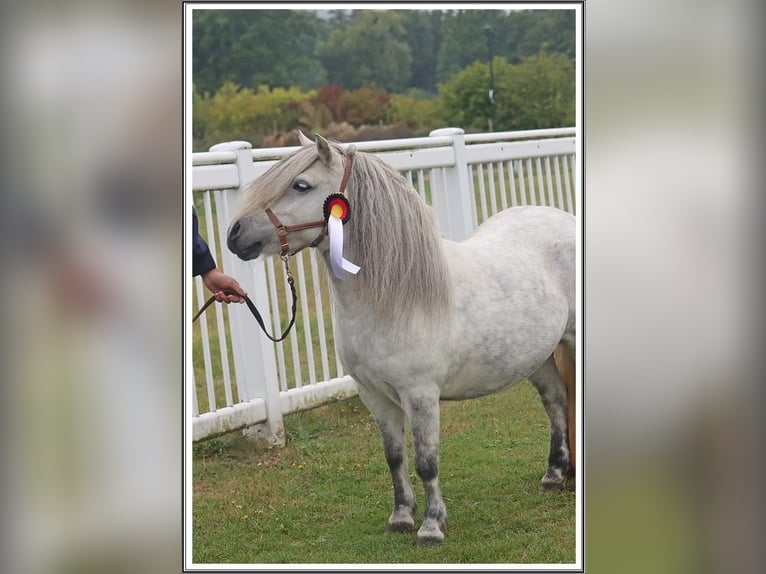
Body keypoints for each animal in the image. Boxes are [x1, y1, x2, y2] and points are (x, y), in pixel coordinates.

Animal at [228, 133, 576, 548]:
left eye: (300, 185)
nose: (235, 235)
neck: (394, 297)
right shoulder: (373, 395)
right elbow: (394, 456)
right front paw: (400, 517)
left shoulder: (421, 394)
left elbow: (427, 461)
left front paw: (432, 526)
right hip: (538, 357)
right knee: (555, 401)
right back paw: (555, 474)